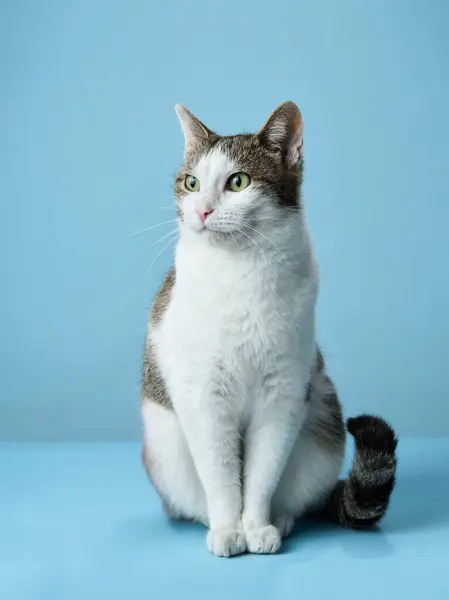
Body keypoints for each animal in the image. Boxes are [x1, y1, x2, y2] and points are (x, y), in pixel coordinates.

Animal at [140, 101, 396, 556]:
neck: (240, 272)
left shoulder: (283, 394)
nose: (202, 210)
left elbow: (261, 475)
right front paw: (229, 528)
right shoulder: (204, 396)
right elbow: (222, 476)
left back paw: (281, 519)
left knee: (296, 493)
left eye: (238, 182)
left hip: (321, 433)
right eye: (191, 183)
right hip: (164, 448)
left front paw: (256, 526)